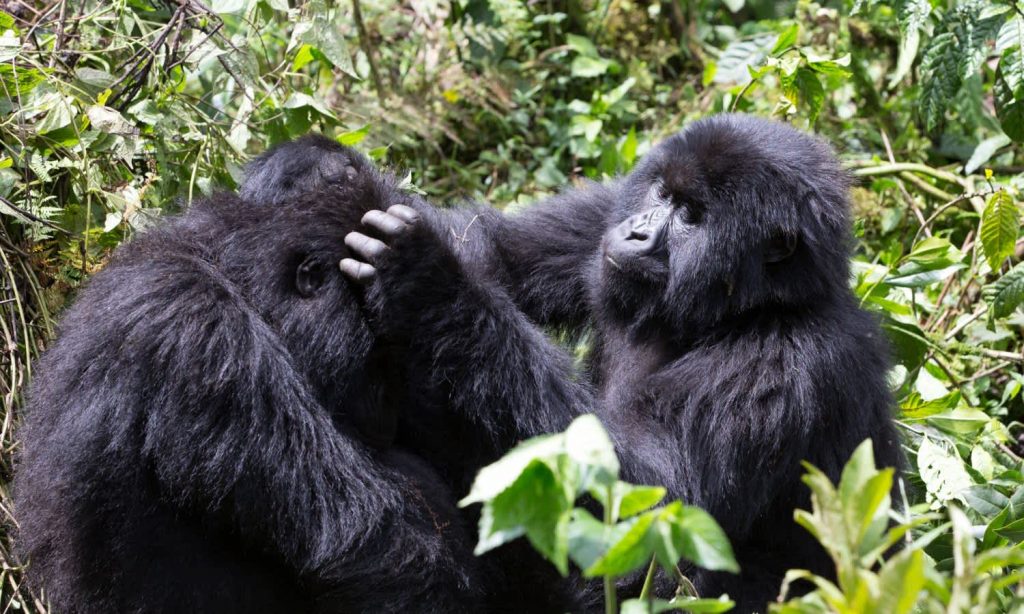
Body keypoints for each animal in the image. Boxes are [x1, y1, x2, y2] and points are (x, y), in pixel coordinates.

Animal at [337, 114, 905, 609]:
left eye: (691, 216)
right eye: (663, 195)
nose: (637, 233)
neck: (751, 306)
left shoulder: (786, 363)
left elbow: (656, 504)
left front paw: (427, 279)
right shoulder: (606, 213)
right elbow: (490, 249)